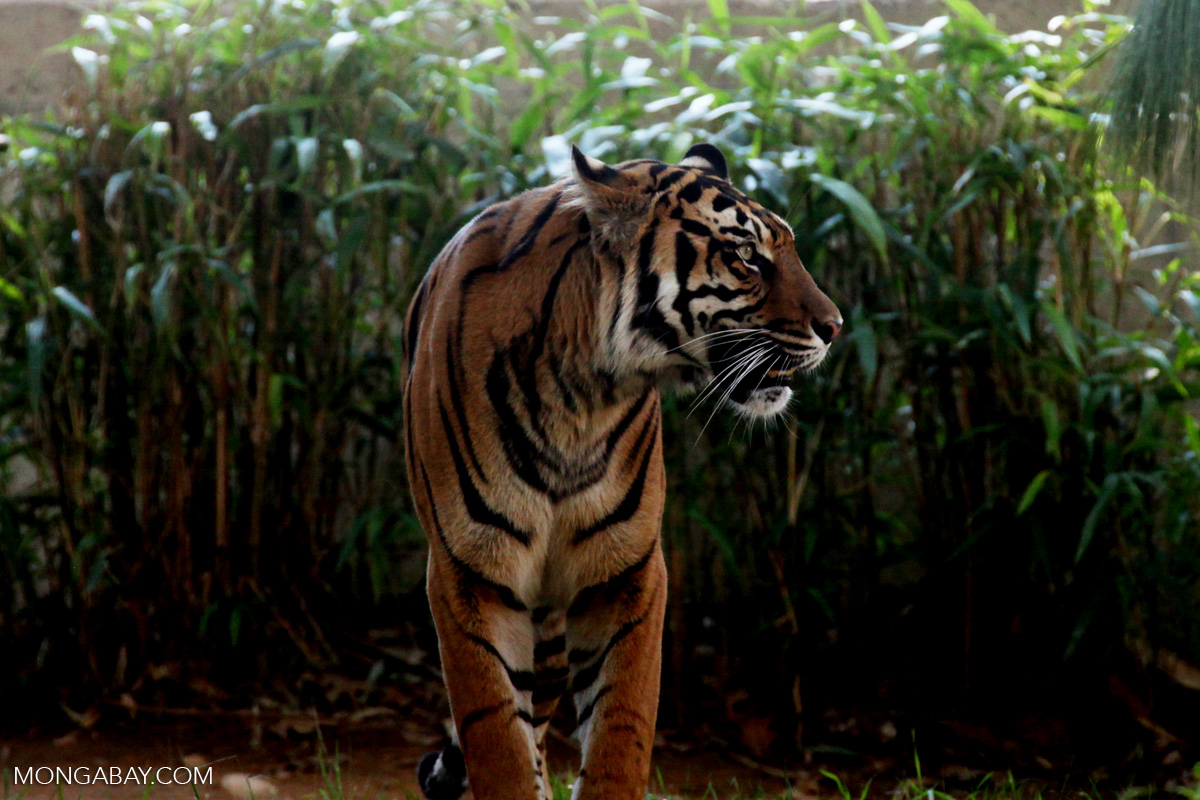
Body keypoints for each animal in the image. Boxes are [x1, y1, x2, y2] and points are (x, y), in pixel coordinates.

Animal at [403, 143, 844, 800]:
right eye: (745, 255)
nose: (835, 327)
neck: (580, 398)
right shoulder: (469, 574)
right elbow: (497, 740)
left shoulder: (628, 572)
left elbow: (621, 729)